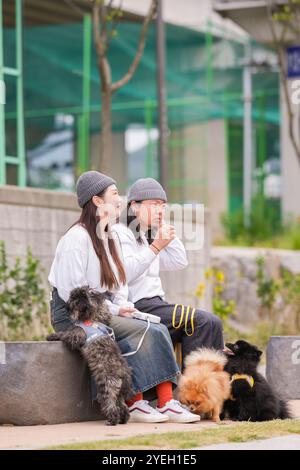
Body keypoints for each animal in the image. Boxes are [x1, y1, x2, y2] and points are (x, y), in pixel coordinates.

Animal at [46, 286, 132, 426]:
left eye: (73, 298)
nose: (66, 305)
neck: (94, 318)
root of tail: (122, 375)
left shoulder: (76, 335)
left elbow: (64, 333)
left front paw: (52, 336)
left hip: (106, 388)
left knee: (111, 405)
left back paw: (111, 421)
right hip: (118, 394)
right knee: (123, 407)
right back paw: (123, 420)